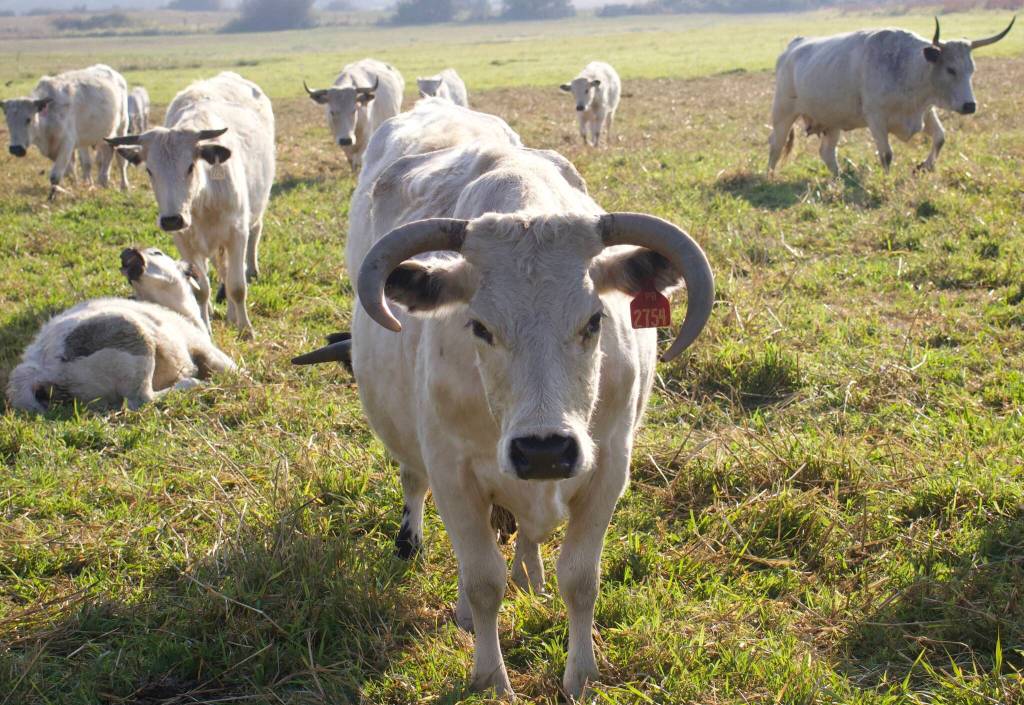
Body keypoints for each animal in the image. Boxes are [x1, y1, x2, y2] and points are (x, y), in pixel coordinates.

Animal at [1, 64, 130, 200]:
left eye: (28, 119)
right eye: (8, 121)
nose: (16, 149)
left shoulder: (67, 144)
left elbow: (55, 176)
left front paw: (51, 197)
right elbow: (69, 172)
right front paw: (76, 186)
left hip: (122, 128)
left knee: (121, 161)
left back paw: (124, 186)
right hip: (99, 137)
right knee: (100, 157)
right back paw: (102, 181)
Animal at [7, 246, 236, 413]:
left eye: (157, 253)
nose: (128, 250)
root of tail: (40, 365)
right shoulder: (204, 348)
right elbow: (234, 370)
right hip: (135, 339)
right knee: (141, 399)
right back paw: (192, 383)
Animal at [106, 72, 276, 340]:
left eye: (190, 166)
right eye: (150, 170)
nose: (171, 219)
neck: (203, 201)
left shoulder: (236, 233)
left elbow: (237, 286)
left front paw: (246, 329)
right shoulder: (185, 241)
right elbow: (201, 289)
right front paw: (206, 326)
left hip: (254, 216)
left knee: (250, 243)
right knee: (221, 269)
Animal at [337, 99, 714, 699]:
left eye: (594, 321)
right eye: (479, 326)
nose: (544, 450)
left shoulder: (609, 467)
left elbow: (580, 580)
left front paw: (581, 676)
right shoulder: (453, 474)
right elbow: (482, 581)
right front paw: (490, 677)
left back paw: (529, 575)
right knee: (419, 490)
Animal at [768, 16, 1016, 176]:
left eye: (971, 69)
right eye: (950, 69)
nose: (970, 105)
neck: (908, 68)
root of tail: (794, 45)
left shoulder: (925, 111)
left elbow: (940, 137)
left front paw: (925, 166)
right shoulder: (876, 118)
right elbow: (886, 154)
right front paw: (887, 182)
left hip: (832, 122)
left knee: (827, 153)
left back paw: (837, 180)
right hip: (783, 112)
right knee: (776, 146)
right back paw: (770, 176)